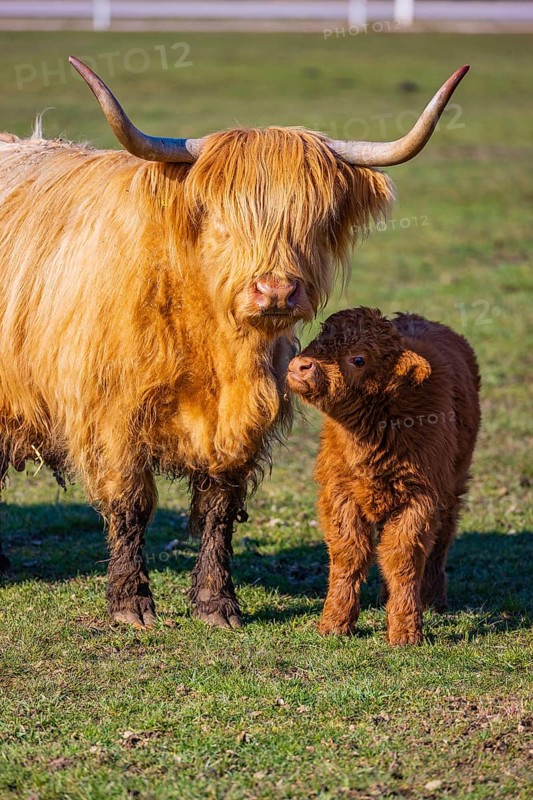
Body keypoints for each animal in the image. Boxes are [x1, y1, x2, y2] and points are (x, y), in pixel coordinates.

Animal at [0, 58, 469, 629]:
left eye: (313, 222)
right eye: (224, 219)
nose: (277, 291)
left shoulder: (242, 422)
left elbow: (218, 507)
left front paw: (216, 603)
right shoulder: (111, 416)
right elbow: (130, 504)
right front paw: (131, 604)